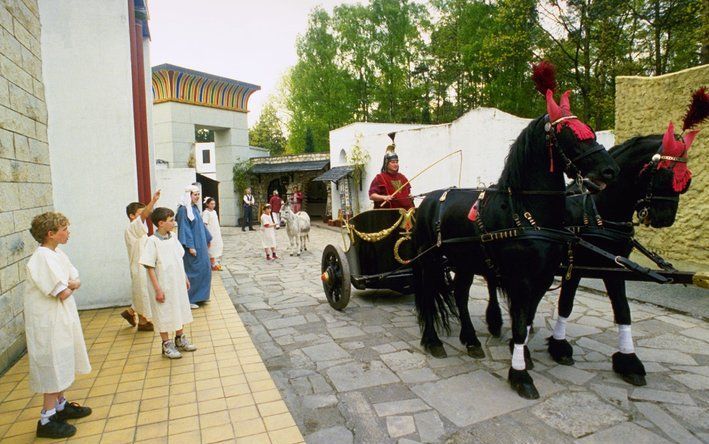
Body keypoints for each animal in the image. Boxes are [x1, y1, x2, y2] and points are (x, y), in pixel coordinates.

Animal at [412, 91, 616, 398]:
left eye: (590, 131)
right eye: (568, 134)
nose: (610, 170)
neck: (526, 212)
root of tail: (428, 200)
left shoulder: (542, 279)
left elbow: (527, 320)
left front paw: (523, 358)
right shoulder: (521, 280)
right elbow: (519, 325)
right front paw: (520, 376)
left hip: (465, 261)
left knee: (460, 294)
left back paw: (471, 340)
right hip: (430, 260)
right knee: (427, 294)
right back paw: (433, 340)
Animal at [482, 132, 692, 386]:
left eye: (686, 181)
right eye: (665, 175)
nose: (665, 217)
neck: (598, 213)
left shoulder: (614, 266)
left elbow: (623, 310)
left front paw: (629, 361)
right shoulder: (577, 266)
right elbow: (566, 304)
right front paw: (559, 346)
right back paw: (495, 320)